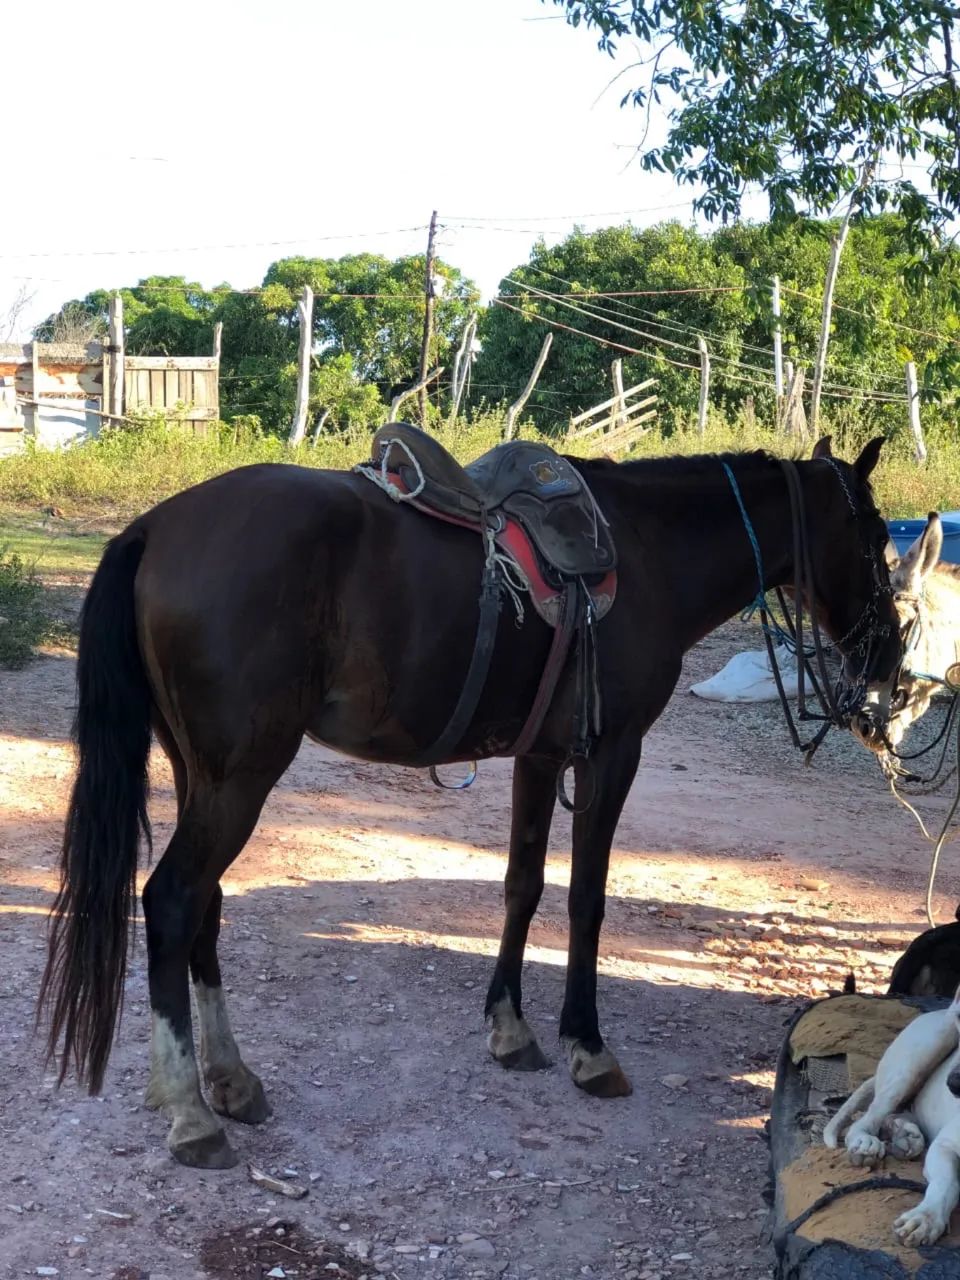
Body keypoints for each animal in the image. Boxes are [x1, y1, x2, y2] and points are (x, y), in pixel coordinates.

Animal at [38, 429, 900, 1169]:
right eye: (878, 544)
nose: (888, 659)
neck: (650, 550)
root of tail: (154, 526)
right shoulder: (612, 753)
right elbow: (586, 898)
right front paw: (588, 1046)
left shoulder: (541, 756)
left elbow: (523, 885)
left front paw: (512, 1031)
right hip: (241, 776)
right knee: (174, 899)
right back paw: (191, 1112)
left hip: (201, 772)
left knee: (205, 905)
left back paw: (230, 1081)